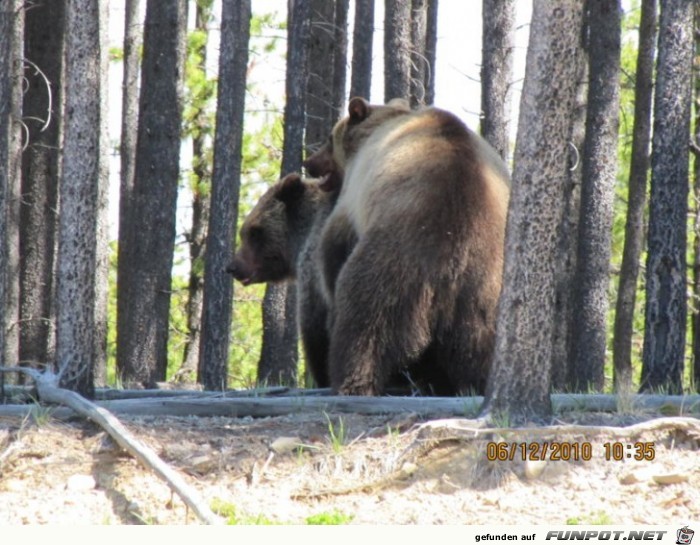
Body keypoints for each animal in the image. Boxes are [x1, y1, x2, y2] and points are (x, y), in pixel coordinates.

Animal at [300, 96, 508, 396]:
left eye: (330, 138)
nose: (309, 162)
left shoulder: (354, 194)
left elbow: (334, 244)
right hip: (484, 293)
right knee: (479, 348)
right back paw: (476, 385)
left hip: (394, 263)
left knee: (364, 320)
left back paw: (353, 382)